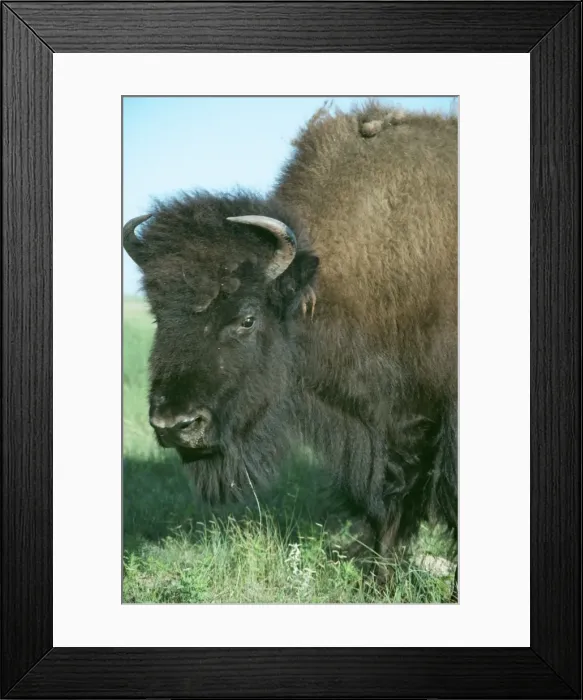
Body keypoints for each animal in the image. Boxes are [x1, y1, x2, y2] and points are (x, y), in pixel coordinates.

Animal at [123, 101, 458, 573]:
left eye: (247, 319)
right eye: (158, 315)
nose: (175, 425)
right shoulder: (386, 426)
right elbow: (389, 498)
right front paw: (375, 568)